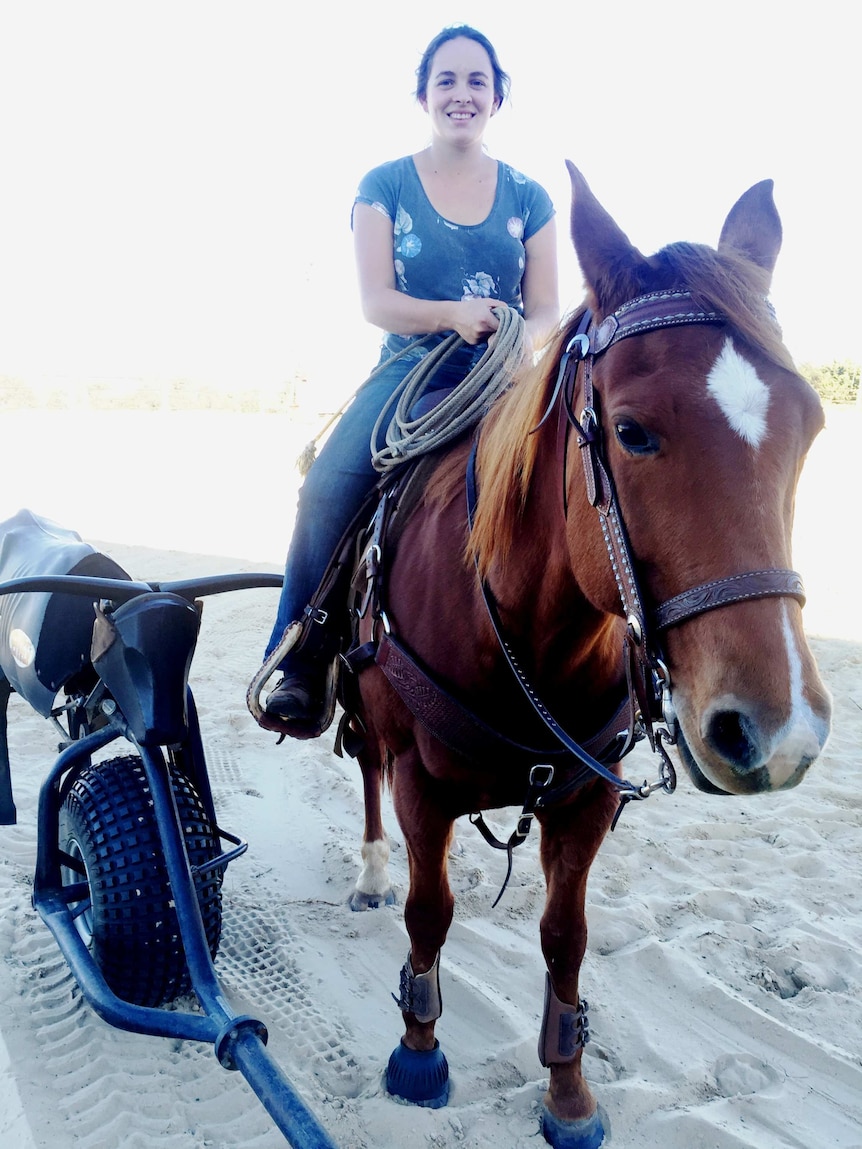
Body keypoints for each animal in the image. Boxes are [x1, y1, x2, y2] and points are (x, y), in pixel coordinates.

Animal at [342, 164, 832, 1149]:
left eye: (811, 427)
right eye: (633, 430)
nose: (779, 732)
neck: (523, 632)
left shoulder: (587, 795)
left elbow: (565, 936)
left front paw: (569, 1092)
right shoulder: (421, 779)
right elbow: (429, 909)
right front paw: (418, 1052)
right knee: (366, 766)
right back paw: (371, 868)